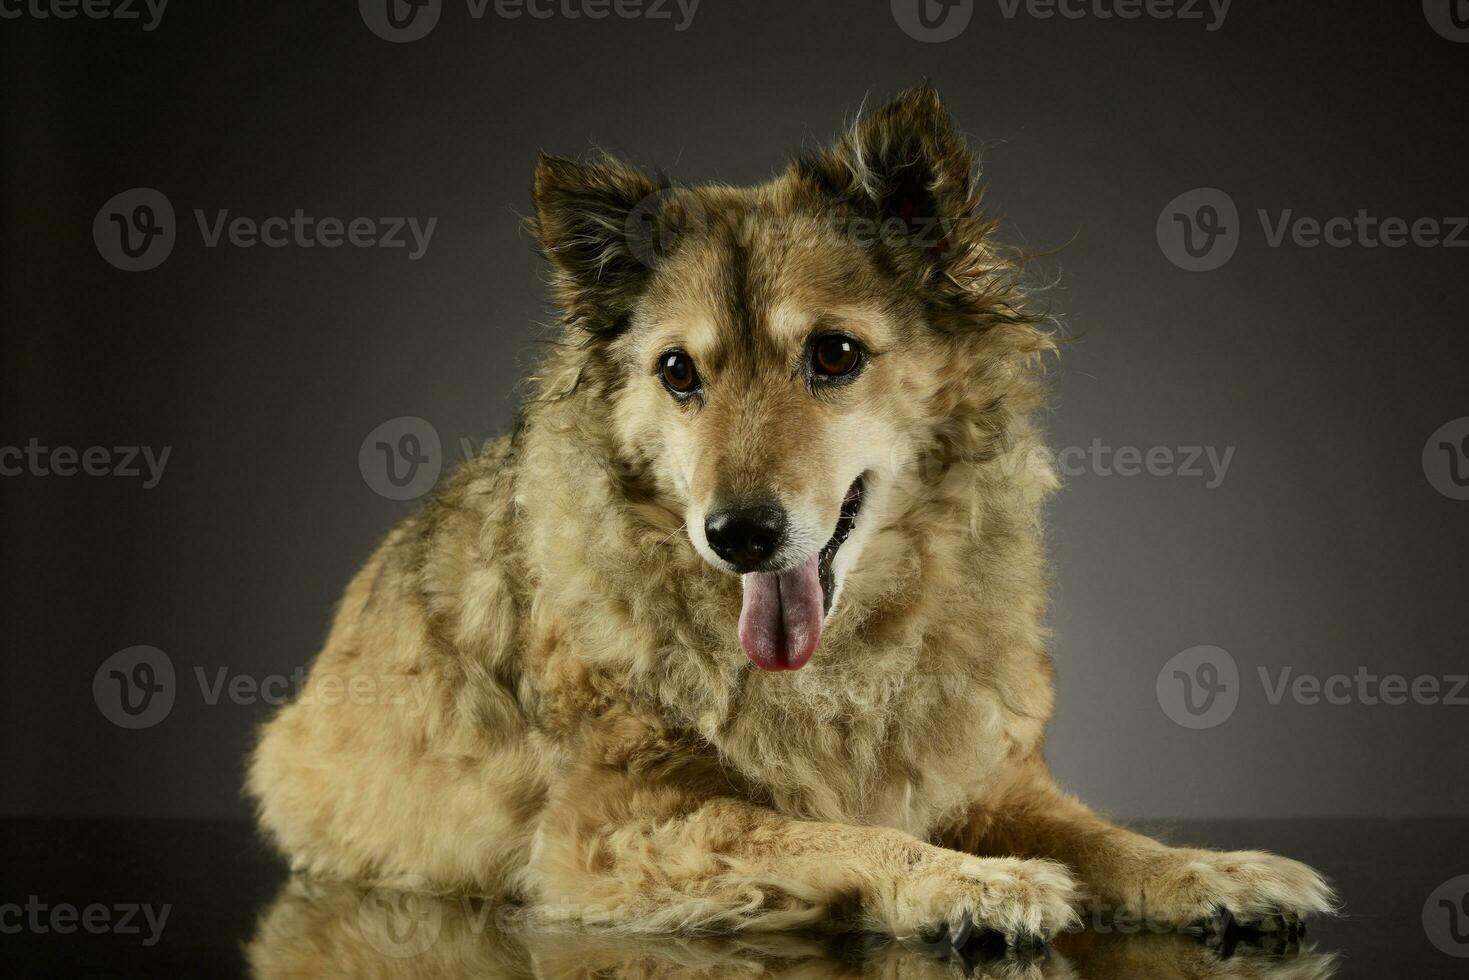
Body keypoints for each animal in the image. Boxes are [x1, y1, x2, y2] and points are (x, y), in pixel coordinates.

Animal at [246, 86, 1339, 952]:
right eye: (677, 372)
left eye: (834, 355)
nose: (739, 535)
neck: (840, 665)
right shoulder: (614, 827)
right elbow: (829, 830)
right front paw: (963, 880)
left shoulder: (994, 786)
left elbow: (1110, 839)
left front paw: (1209, 870)